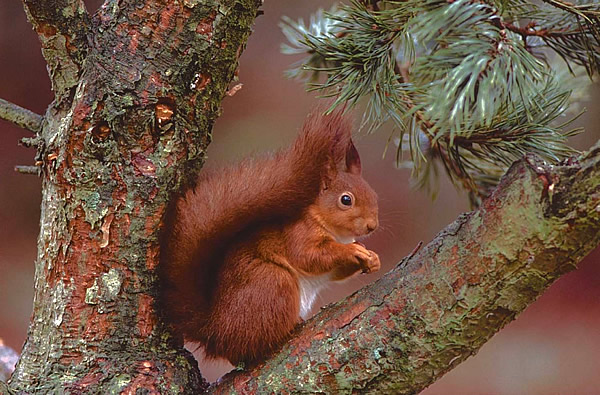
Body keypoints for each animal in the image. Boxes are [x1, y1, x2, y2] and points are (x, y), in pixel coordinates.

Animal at [159, 106, 380, 366]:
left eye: (374, 195)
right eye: (346, 200)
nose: (372, 226)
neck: (336, 232)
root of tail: (215, 332)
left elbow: (336, 272)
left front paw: (372, 258)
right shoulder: (299, 233)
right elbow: (309, 257)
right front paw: (352, 250)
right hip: (273, 282)